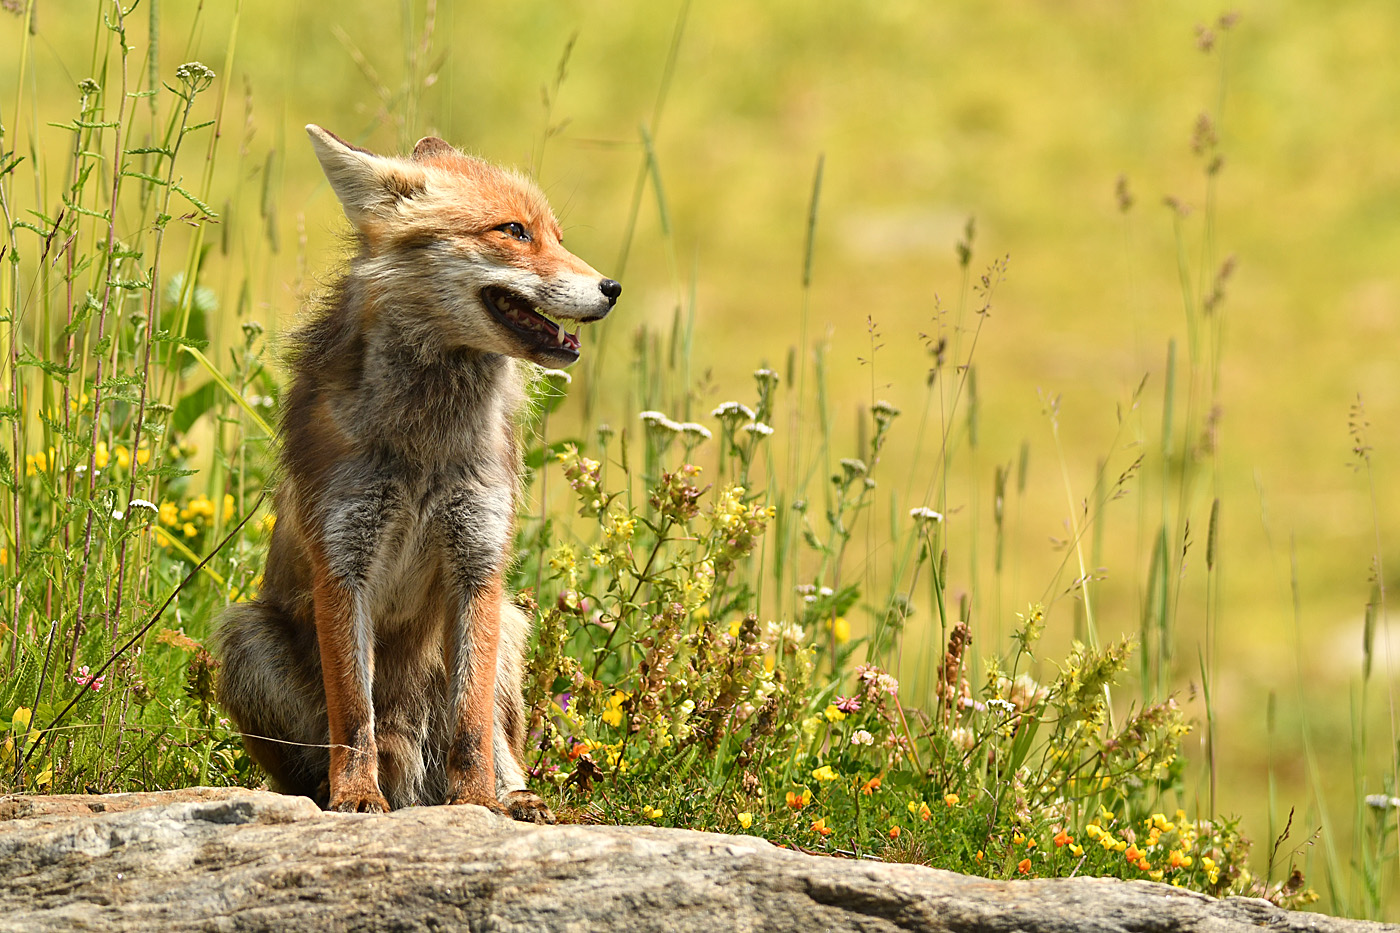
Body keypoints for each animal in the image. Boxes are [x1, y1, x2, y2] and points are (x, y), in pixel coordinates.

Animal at [212, 125, 618, 812]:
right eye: (514, 231)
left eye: (557, 235)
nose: (612, 288)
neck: (426, 449)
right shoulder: (343, 559)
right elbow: (355, 714)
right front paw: (356, 797)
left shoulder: (478, 561)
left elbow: (470, 722)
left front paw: (478, 804)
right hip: (245, 639)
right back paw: (332, 792)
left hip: (512, 625)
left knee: (497, 738)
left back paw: (515, 799)